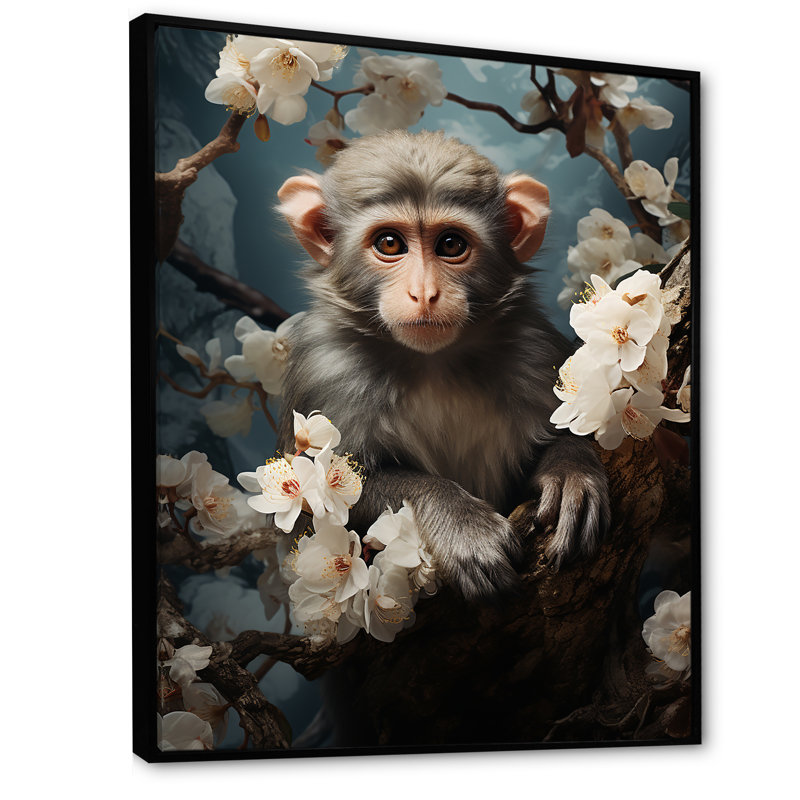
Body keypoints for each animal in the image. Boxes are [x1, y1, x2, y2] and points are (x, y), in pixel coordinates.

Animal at [275, 130, 610, 602]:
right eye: (389, 244)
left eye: (451, 245)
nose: (424, 293)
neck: (432, 363)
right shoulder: (325, 375)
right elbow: (326, 499)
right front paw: (461, 524)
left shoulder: (536, 353)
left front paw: (569, 470)